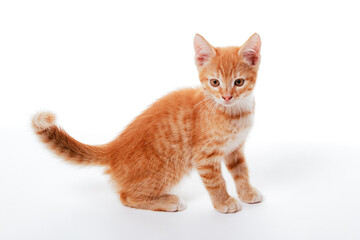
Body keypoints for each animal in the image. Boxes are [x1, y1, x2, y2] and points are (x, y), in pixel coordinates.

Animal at [31, 32, 262, 213]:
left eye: (238, 82)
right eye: (215, 82)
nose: (227, 96)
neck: (235, 113)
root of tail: (114, 148)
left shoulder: (235, 148)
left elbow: (241, 171)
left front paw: (247, 193)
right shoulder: (204, 155)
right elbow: (216, 181)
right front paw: (223, 202)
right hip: (171, 166)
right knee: (126, 196)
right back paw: (168, 201)